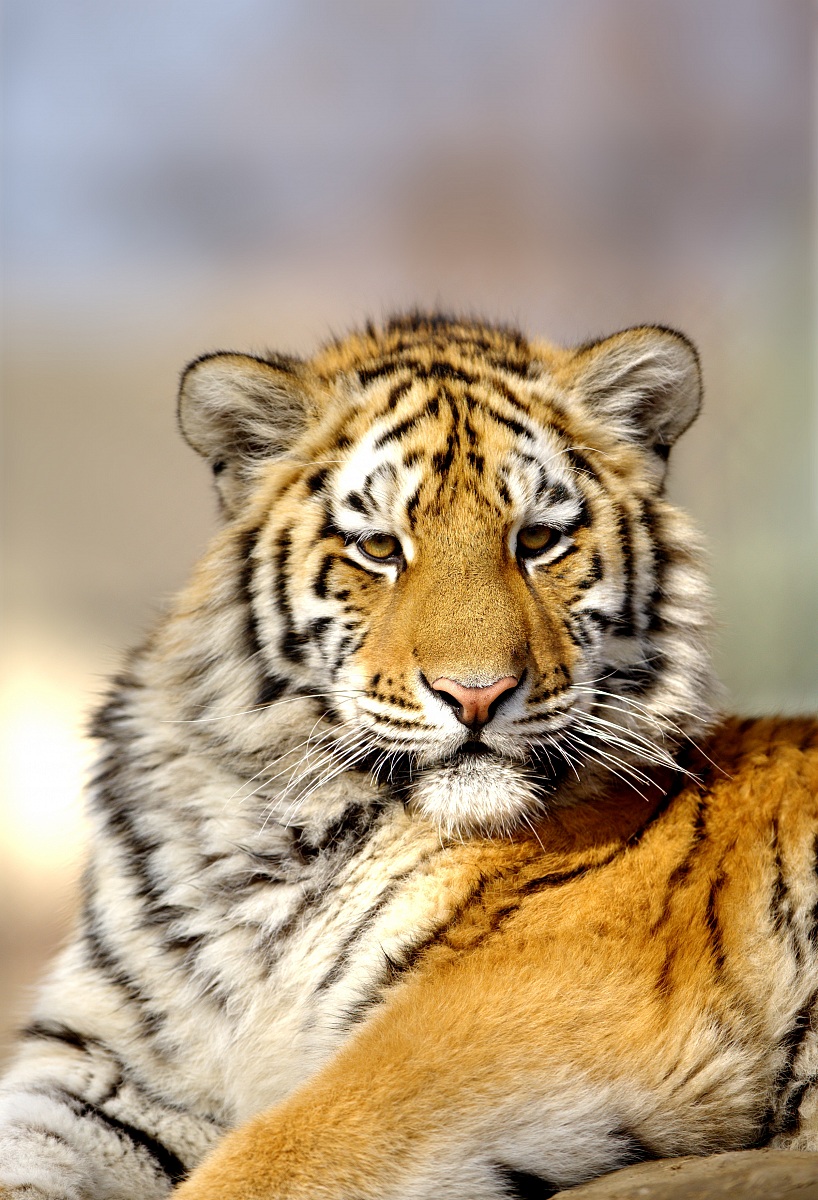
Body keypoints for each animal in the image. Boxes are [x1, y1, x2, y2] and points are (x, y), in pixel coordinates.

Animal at [1, 313, 817, 1200]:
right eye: (380, 548)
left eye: (537, 540)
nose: (477, 695)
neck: (263, 822)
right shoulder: (112, 1058)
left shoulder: (526, 1000)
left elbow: (276, 1155)